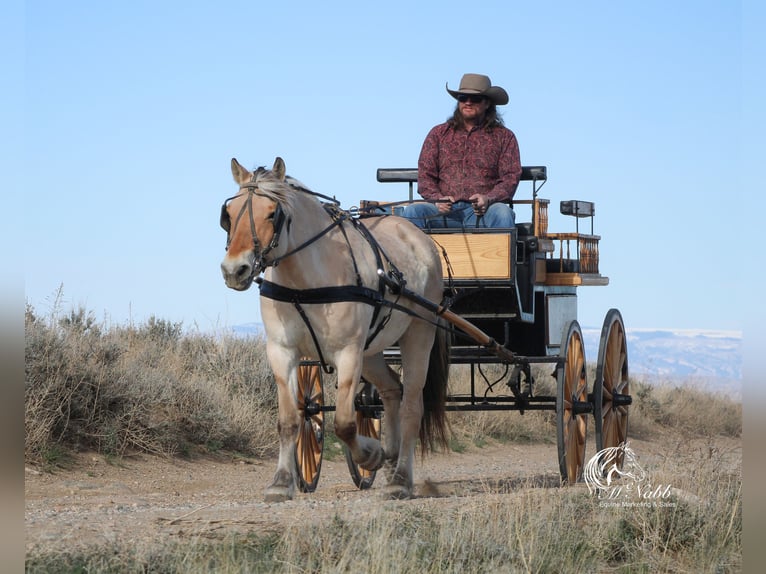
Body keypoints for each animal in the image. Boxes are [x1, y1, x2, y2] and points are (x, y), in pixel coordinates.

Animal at [219, 159, 452, 504]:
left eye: (273, 213)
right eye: (229, 214)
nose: (235, 270)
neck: (306, 283)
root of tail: (417, 236)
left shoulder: (348, 353)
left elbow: (344, 423)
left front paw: (370, 454)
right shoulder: (281, 351)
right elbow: (289, 420)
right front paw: (281, 482)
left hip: (418, 333)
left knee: (411, 406)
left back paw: (400, 478)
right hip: (372, 350)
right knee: (391, 389)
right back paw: (391, 456)